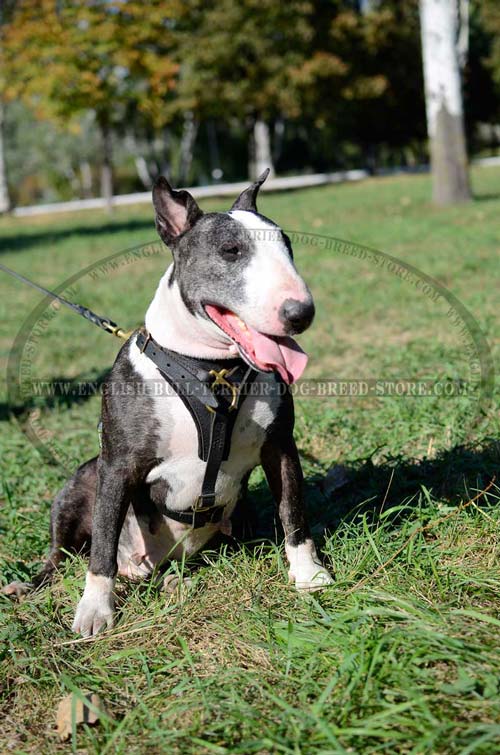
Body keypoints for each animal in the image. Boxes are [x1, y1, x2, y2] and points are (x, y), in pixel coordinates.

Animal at [3, 168, 334, 636]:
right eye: (230, 251)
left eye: (287, 246)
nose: (300, 314)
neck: (211, 370)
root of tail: (157, 562)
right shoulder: (118, 465)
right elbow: (102, 545)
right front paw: (95, 610)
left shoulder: (280, 446)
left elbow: (293, 511)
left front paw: (308, 574)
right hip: (83, 480)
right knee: (63, 553)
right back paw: (32, 585)